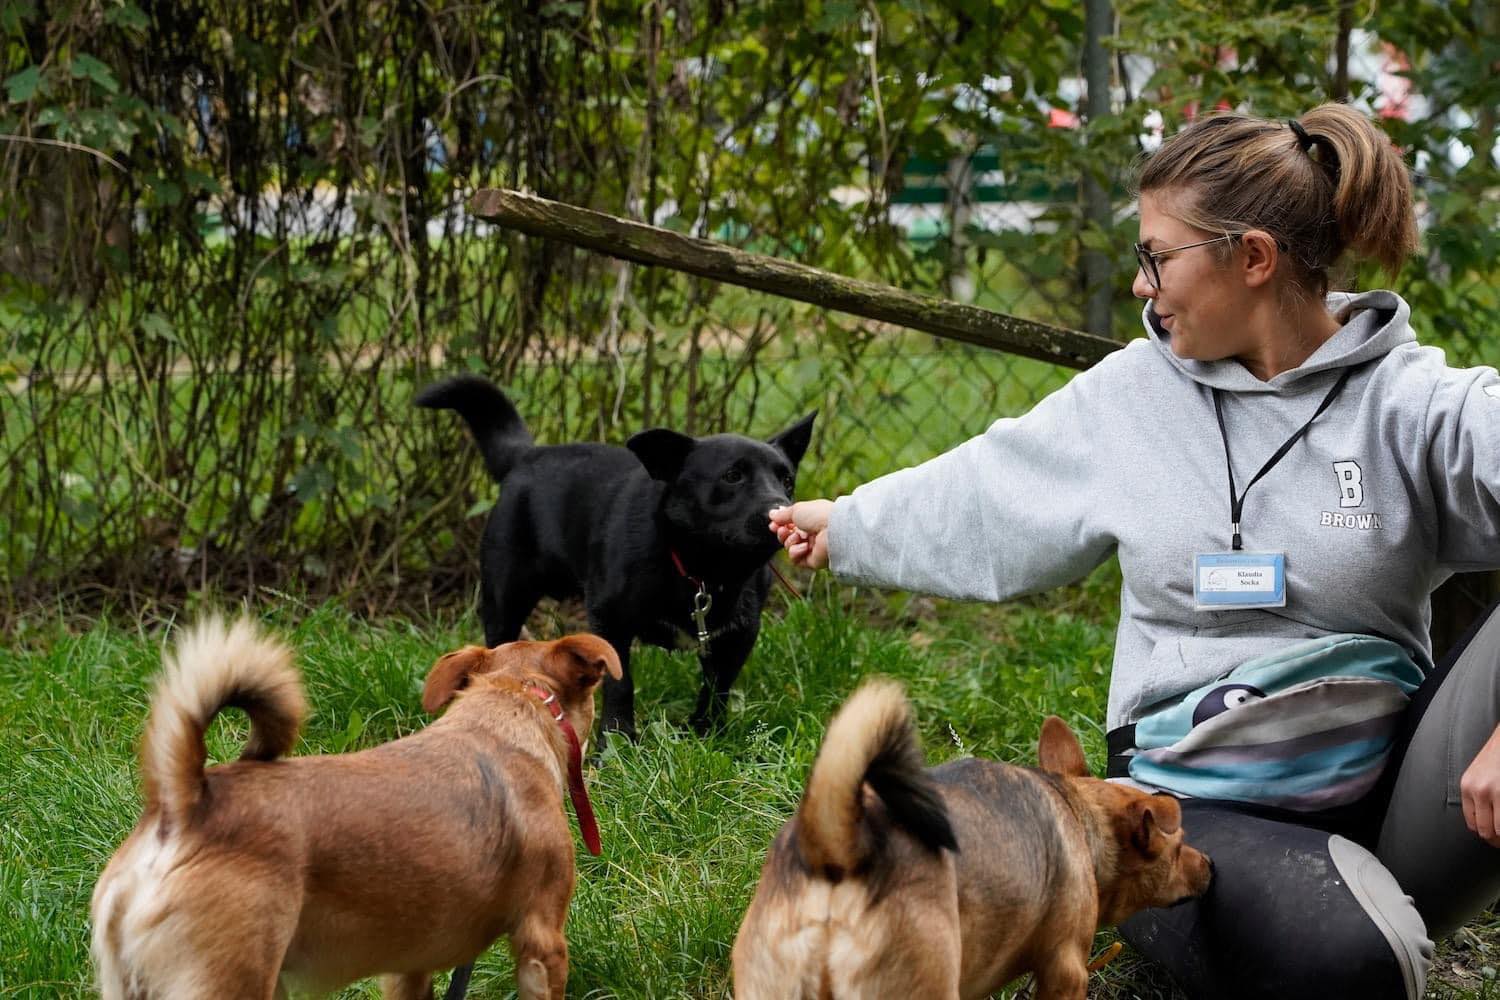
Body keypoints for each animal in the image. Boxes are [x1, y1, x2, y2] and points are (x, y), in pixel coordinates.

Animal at [417, 374, 816, 743]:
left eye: (787, 481)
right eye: (732, 476)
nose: (780, 509)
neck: (698, 568)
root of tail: (527, 455)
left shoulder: (738, 635)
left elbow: (716, 687)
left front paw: (706, 733)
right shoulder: (610, 621)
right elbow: (621, 685)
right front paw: (616, 742)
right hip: (505, 598)